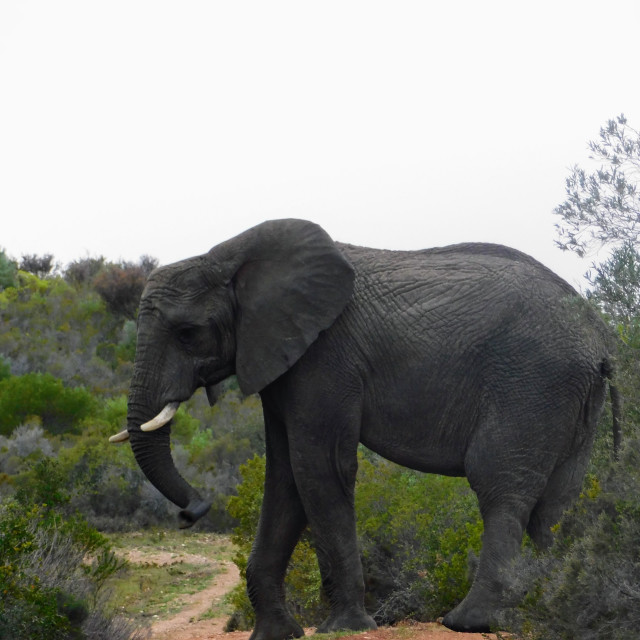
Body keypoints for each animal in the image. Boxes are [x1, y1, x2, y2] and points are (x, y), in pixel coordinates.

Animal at [111, 219, 620, 636]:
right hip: (571, 399)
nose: (192, 512)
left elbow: (320, 469)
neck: (229, 256)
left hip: (530, 384)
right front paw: (277, 634)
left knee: (500, 486)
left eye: (187, 333)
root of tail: (600, 338)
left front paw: (344, 628)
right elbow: (284, 479)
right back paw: (549, 614)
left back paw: (468, 622)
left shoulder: (325, 358)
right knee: (556, 506)